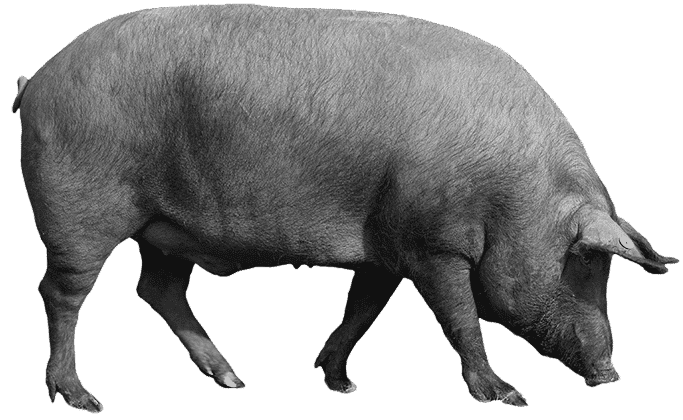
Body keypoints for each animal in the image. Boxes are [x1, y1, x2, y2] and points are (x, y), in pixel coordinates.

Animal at [12, 4, 677, 413]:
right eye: (585, 263)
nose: (611, 374)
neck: (509, 192)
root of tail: (37, 78)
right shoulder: (433, 245)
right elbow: (461, 319)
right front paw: (506, 396)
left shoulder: (384, 248)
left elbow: (363, 310)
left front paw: (340, 383)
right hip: (80, 211)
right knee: (62, 292)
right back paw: (83, 400)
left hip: (166, 228)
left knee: (157, 289)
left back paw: (234, 380)